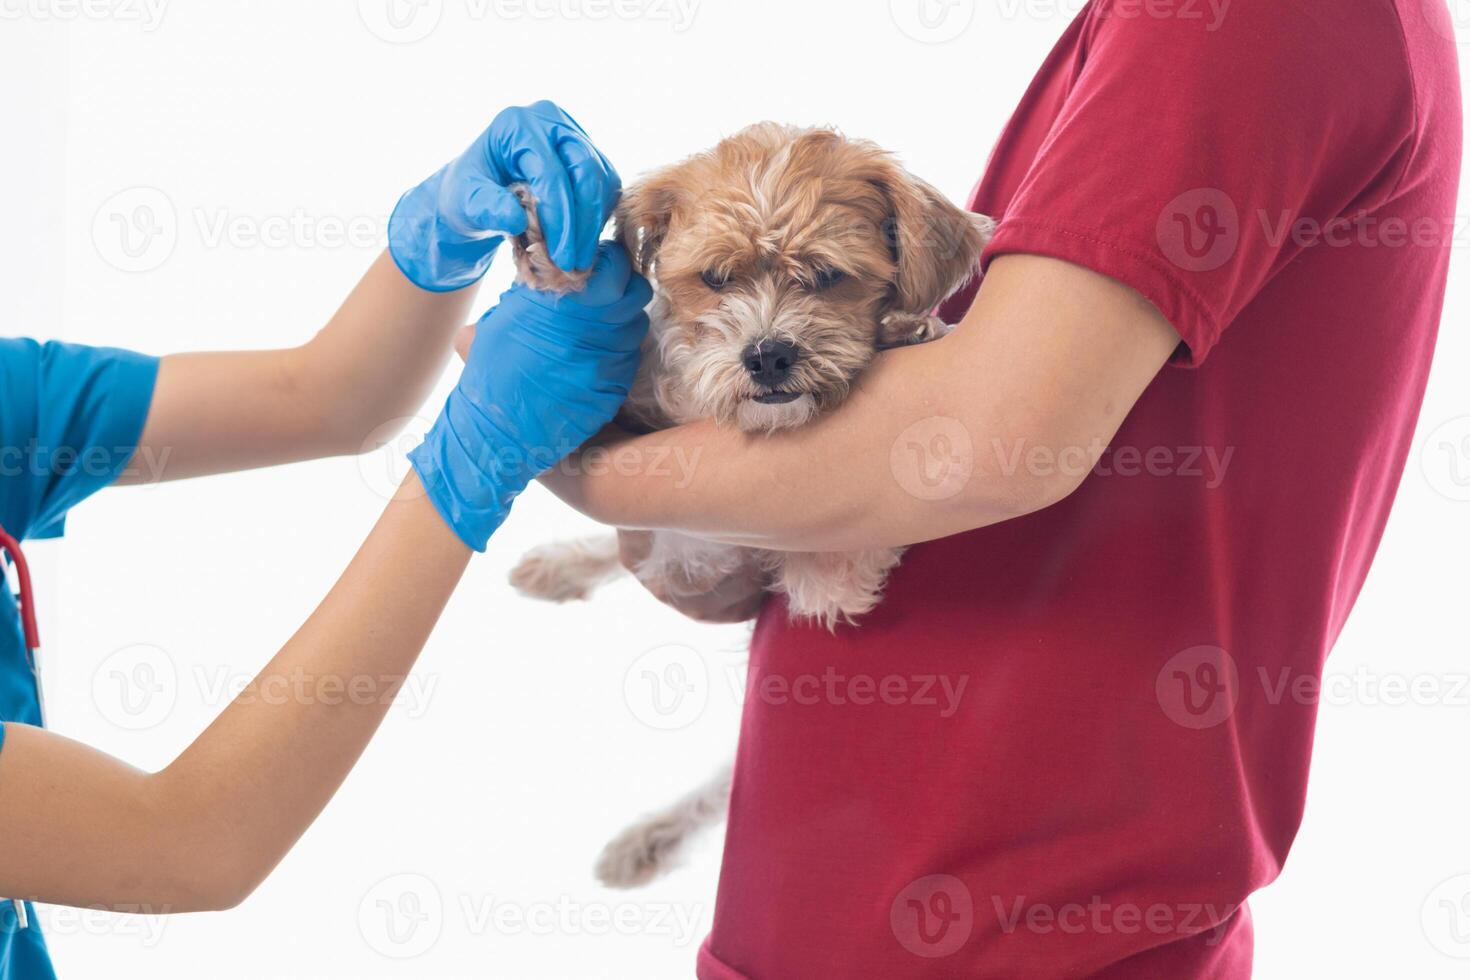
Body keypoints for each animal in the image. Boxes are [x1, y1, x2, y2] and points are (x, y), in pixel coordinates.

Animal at [508, 122, 999, 887]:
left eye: (827, 277)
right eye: (715, 279)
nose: (768, 355)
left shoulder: (817, 573)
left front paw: (907, 328)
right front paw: (556, 260)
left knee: (722, 785)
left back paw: (653, 837)